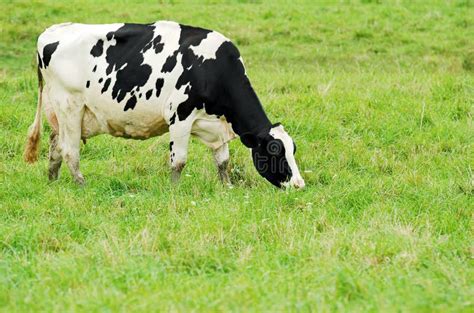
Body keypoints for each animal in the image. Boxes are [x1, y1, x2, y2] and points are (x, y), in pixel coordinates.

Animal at [24, 22, 306, 189]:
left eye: (292, 149)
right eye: (273, 151)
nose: (299, 185)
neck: (213, 68)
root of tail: (53, 30)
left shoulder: (216, 124)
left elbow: (223, 161)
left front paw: (226, 187)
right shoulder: (180, 115)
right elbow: (178, 161)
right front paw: (174, 190)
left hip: (60, 112)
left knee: (54, 147)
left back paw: (53, 182)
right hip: (70, 106)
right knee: (69, 150)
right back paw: (82, 185)